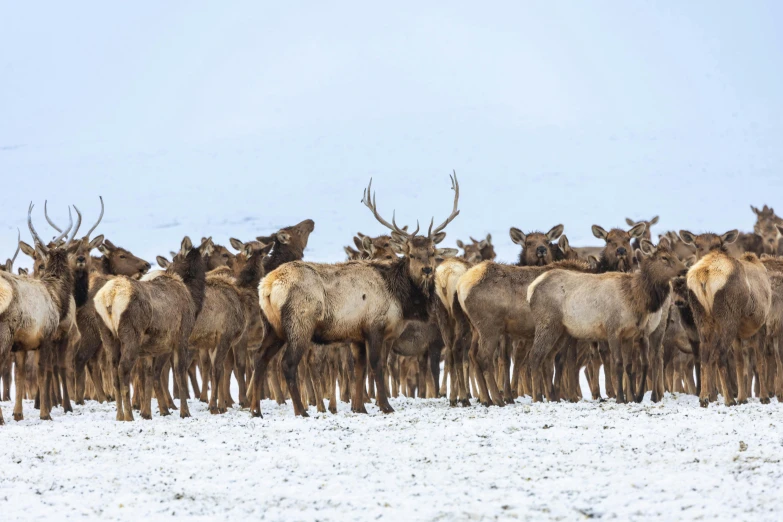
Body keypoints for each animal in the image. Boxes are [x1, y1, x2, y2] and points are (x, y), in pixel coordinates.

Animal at [0, 203, 81, 422]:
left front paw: (18, 413)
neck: (56, 295)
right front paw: (45, 412)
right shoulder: (45, 336)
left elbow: (20, 375)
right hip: (4, 334)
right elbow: (43, 372)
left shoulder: (22, 344)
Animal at [95, 236, 214, 418]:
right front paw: (183, 411)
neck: (193, 301)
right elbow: (178, 372)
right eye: (174, 258)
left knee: (114, 370)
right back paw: (129, 416)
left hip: (107, 334)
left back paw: (120, 415)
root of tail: (110, 296)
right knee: (123, 369)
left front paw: (150, 412)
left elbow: (151, 373)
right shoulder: (180, 337)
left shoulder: (154, 346)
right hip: (131, 335)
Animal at [254, 173, 460, 416]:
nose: (427, 270)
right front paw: (385, 405)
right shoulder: (374, 326)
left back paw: (255, 410)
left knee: (260, 358)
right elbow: (377, 366)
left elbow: (359, 370)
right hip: (299, 323)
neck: (401, 298)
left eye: (432, 252)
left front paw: (359, 407)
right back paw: (301, 410)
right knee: (287, 363)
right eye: (410, 254)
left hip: (272, 326)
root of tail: (267, 286)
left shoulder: (357, 335)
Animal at [528, 236, 688, 402]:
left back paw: (553, 397)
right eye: (664, 258)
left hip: (562, 330)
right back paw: (538, 397)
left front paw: (633, 397)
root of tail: (531, 289)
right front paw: (621, 398)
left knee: (548, 359)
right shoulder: (613, 329)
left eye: (676, 255)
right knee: (535, 356)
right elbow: (618, 363)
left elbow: (629, 365)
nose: (684, 270)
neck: (634, 298)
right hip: (547, 323)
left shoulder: (630, 334)